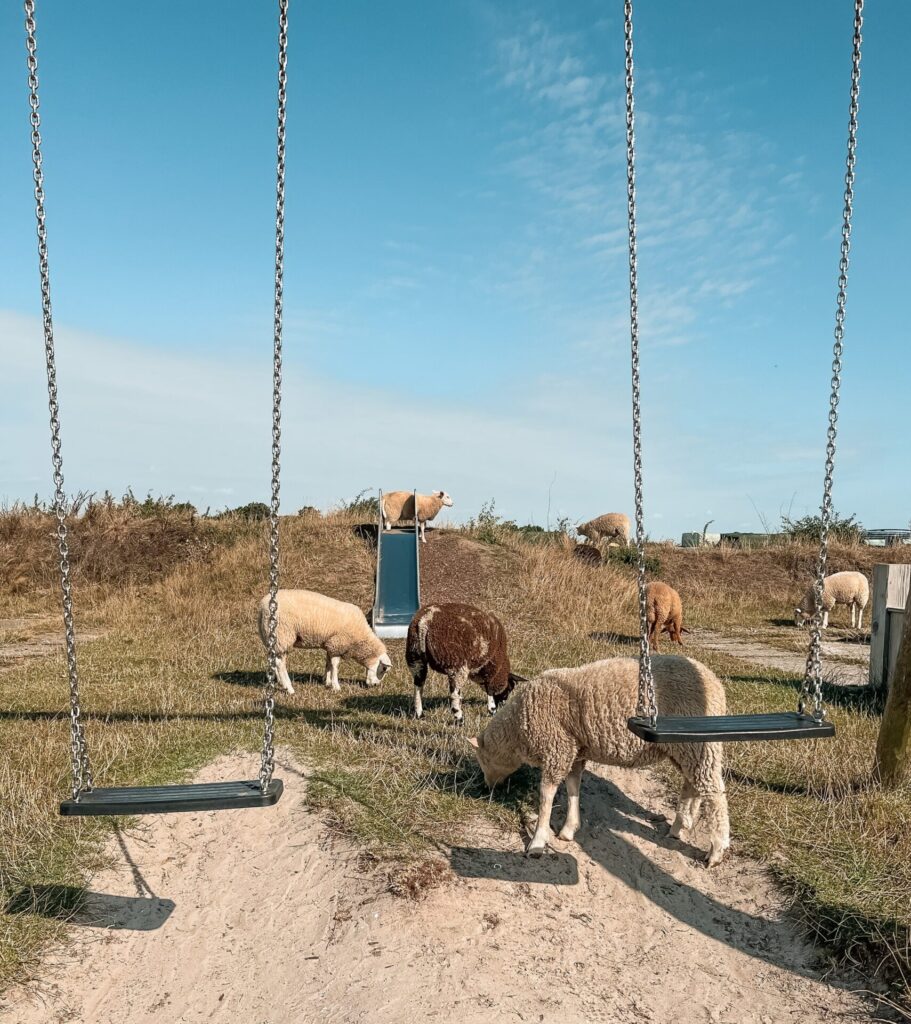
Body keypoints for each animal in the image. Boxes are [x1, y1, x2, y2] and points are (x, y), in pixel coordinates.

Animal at [253, 593, 388, 696]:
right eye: (384, 669)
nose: (375, 685)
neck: (360, 638)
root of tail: (262, 607)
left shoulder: (330, 644)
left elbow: (328, 663)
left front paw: (327, 681)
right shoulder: (337, 644)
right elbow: (335, 665)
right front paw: (336, 686)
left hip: (272, 638)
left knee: (274, 660)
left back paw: (280, 682)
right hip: (283, 635)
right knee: (280, 664)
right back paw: (289, 688)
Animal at [468, 659, 732, 868]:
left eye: (483, 761)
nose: (488, 788)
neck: (518, 729)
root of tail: (716, 684)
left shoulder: (558, 748)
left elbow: (546, 796)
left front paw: (538, 842)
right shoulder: (575, 750)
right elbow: (573, 787)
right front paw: (569, 828)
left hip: (698, 746)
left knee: (714, 794)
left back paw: (716, 851)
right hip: (685, 747)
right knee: (692, 784)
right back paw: (679, 825)